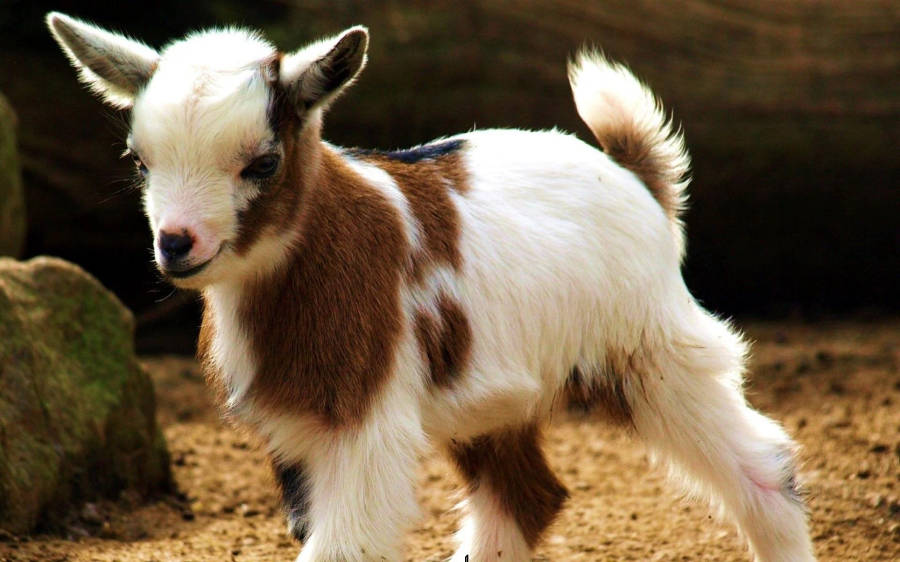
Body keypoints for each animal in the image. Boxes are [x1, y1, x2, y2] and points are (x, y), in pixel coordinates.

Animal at [47, 13, 816, 560]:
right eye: (139, 162)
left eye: (262, 163)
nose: (177, 244)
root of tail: (637, 178)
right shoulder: (295, 428)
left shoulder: (365, 419)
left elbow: (348, 544)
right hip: (495, 396)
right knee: (526, 498)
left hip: (652, 350)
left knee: (765, 468)